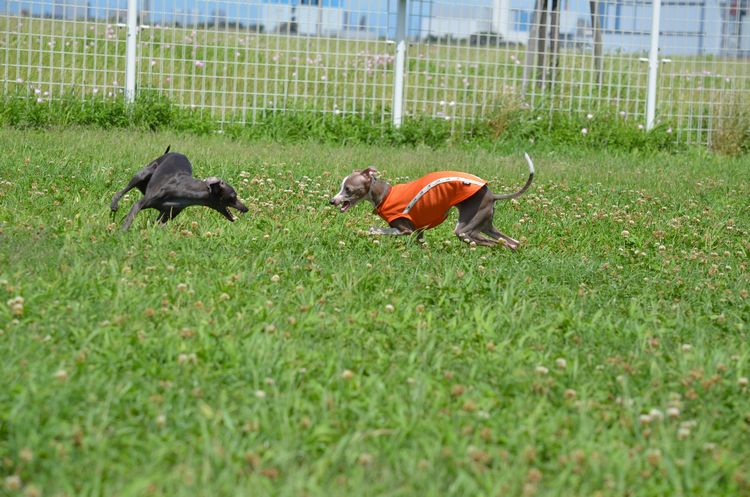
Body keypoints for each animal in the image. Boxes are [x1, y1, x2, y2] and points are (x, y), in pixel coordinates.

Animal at [111, 145, 250, 231]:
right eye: (233, 196)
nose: (246, 208)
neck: (182, 191)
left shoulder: (166, 215)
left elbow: (158, 225)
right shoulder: (141, 204)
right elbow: (130, 217)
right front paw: (121, 234)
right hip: (142, 174)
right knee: (120, 191)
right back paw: (114, 205)